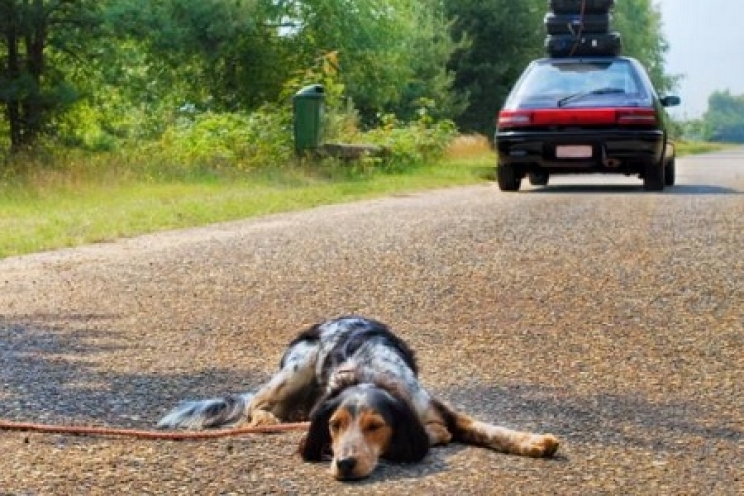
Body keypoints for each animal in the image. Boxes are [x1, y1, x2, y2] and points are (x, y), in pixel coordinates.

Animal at [160, 318, 560, 480]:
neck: (369, 375)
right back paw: (265, 419)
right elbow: (437, 434)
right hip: (300, 363)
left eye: (375, 427)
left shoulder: (437, 408)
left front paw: (534, 442)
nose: (344, 464)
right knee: (254, 404)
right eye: (334, 427)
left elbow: (486, 429)